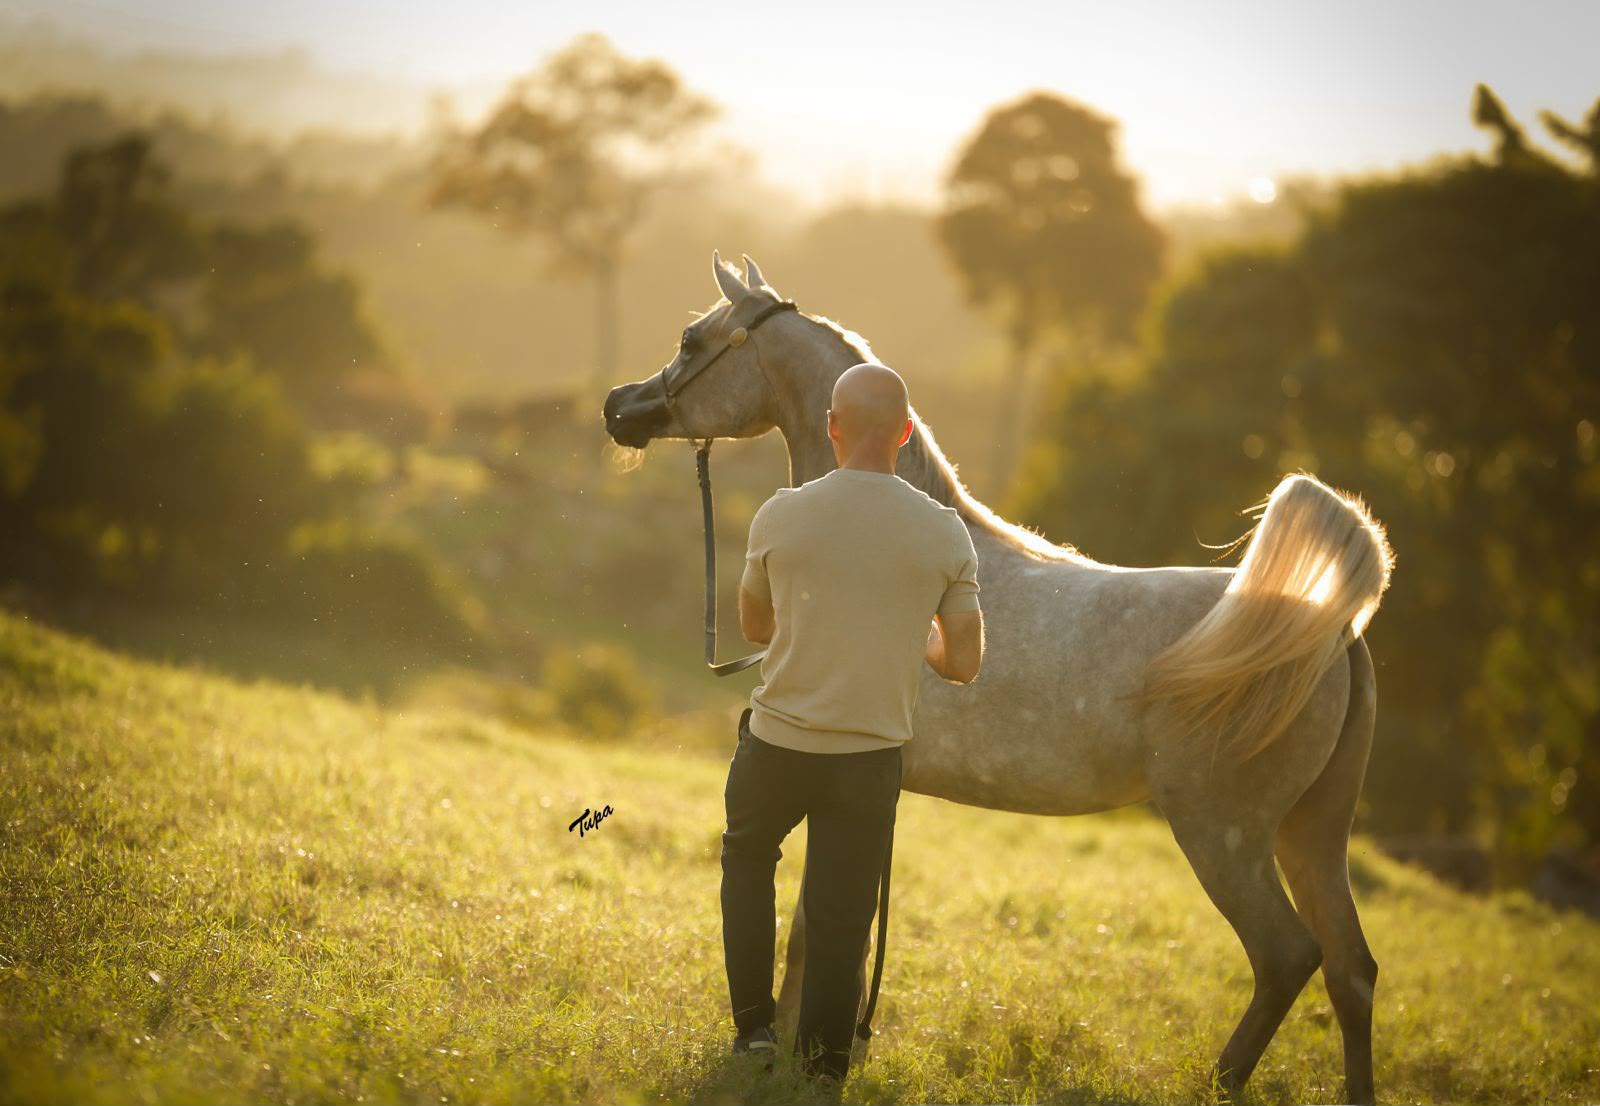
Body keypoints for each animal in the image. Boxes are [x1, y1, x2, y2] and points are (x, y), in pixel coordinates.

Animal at [602, 252, 1394, 1104]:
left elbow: (810, 926)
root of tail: (1336, 634)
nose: (618, 407)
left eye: (693, 338)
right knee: (1351, 971)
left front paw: (784, 1049)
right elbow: (844, 926)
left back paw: (1218, 1080)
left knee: (1286, 957)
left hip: (1225, 832)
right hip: (1312, 835)